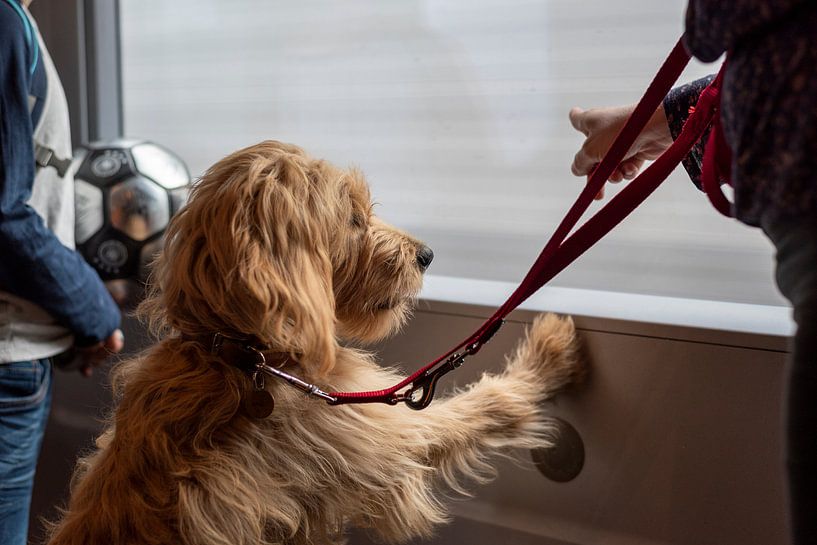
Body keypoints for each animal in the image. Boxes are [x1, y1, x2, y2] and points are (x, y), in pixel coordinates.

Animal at [46, 141, 580, 544]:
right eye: (353, 219)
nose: (426, 254)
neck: (246, 358)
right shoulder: (380, 439)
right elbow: (485, 405)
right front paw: (547, 353)